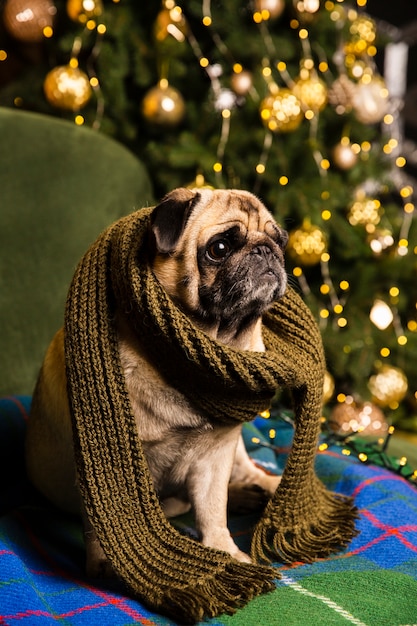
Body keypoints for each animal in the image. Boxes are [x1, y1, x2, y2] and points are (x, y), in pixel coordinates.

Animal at [24, 185, 288, 572]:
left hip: (236, 452)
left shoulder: (216, 455)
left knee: (246, 475)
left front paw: (223, 550)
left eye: (279, 240)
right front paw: (106, 563)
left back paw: (260, 489)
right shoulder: (104, 459)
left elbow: (213, 510)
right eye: (219, 248)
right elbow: (110, 516)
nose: (266, 250)